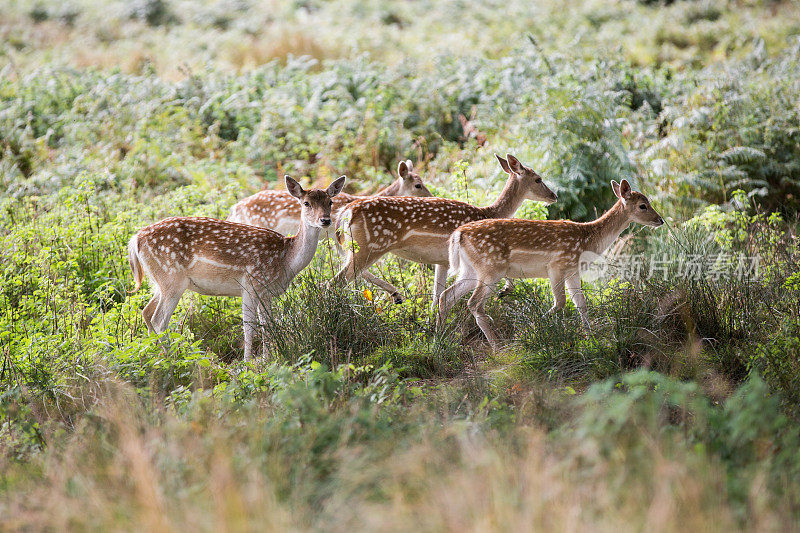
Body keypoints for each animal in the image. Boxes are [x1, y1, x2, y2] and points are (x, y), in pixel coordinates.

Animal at [126, 177, 346, 360]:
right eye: (306, 203)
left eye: (330, 202)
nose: (325, 220)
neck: (285, 260)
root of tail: (136, 239)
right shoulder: (250, 284)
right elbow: (249, 328)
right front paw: (248, 364)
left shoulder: (267, 293)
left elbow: (268, 326)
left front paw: (269, 360)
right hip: (171, 278)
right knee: (159, 320)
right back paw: (173, 359)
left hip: (159, 281)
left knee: (146, 312)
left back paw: (156, 357)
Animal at [332, 153, 556, 308]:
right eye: (538, 179)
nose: (553, 195)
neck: (487, 212)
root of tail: (347, 212)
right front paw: (504, 290)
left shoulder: (442, 261)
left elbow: (436, 297)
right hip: (371, 245)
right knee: (336, 282)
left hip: (357, 247)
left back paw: (396, 296)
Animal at [438, 179, 664, 350]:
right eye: (643, 205)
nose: (660, 220)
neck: (588, 241)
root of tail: (458, 234)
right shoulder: (557, 266)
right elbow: (560, 303)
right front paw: (530, 330)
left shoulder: (573, 271)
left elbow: (581, 304)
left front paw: (591, 339)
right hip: (491, 268)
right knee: (473, 303)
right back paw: (497, 347)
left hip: (471, 270)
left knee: (447, 295)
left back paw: (440, 338)